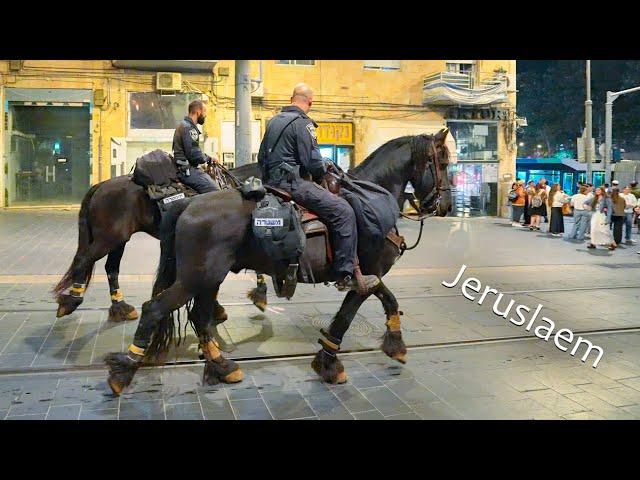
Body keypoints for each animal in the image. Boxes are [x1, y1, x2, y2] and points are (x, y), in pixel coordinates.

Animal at [105, 130, 452, 394]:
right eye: (445, 161)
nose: (446, 205)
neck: (371, 198)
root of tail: (188, 205)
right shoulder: (364, 275)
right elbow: (346, 316)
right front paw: (329, 363)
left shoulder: (370, 275)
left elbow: (390, 300)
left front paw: (395, 342)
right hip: (196, 278)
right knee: (155, 309)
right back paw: (124, 371)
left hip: (208, 279)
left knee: (199, 317)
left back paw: (221, 366)